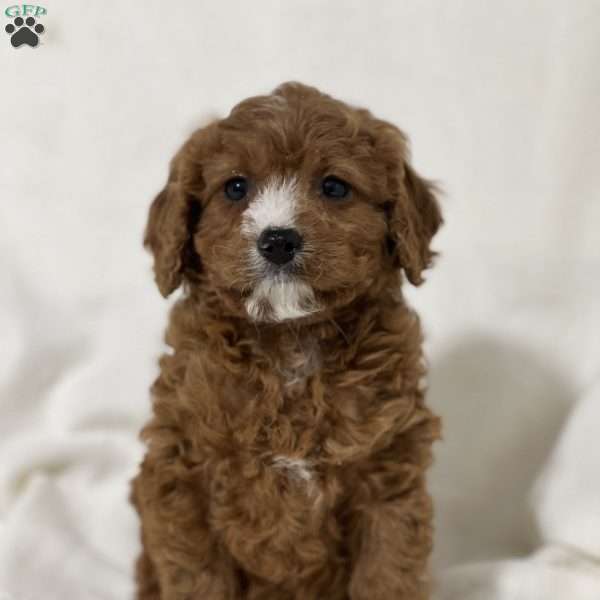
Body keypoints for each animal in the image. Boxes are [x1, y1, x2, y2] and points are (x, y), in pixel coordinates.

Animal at [132, 81, 446, 600]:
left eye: (334, 187)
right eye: (235, 187)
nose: (278, 240)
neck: (291, 339)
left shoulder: (388, 477)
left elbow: (387, 572)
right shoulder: (181, 476)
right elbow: (199, 576)